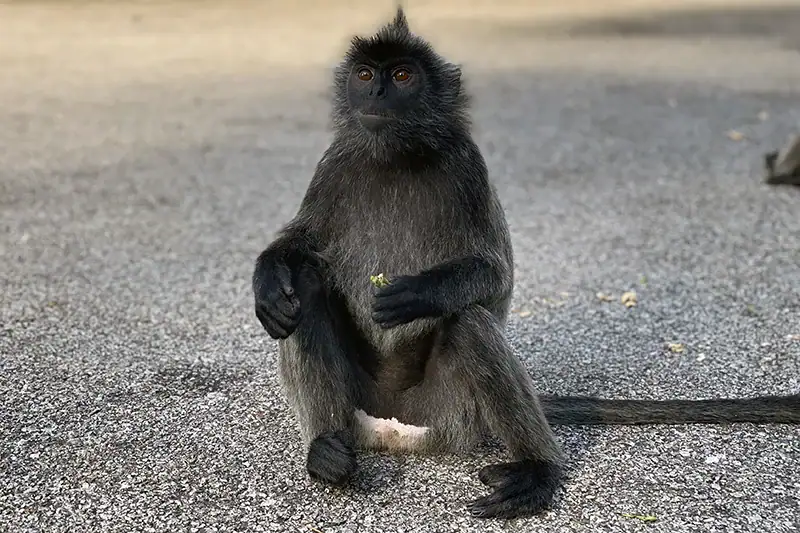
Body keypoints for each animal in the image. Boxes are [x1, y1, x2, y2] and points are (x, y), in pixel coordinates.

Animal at [252, 8, 800, 520]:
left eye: (403, 76)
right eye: (365, 75)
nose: (378, 95)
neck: (395, 158)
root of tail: (393, 427)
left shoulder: (467, 166)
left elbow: (495, 276)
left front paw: (416, 294)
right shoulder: (335, 162)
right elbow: (299, 248)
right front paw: (266, 280)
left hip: (452, 412)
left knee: (469, 321)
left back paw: (538, 469)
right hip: (366, 403)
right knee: (304, 290)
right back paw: (326, 447)